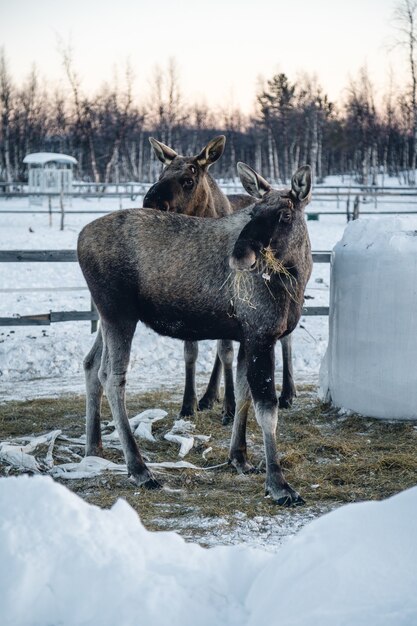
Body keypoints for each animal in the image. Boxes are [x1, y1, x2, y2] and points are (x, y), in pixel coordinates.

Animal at [145, 136, 298, 420]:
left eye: (188, 180)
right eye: (161, 174)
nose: (150, 203)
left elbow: (226, 351)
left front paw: (230, 406)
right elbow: (191, 352)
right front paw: (189, 404)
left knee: (286, 339)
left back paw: (287, 393)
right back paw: (208, 396)